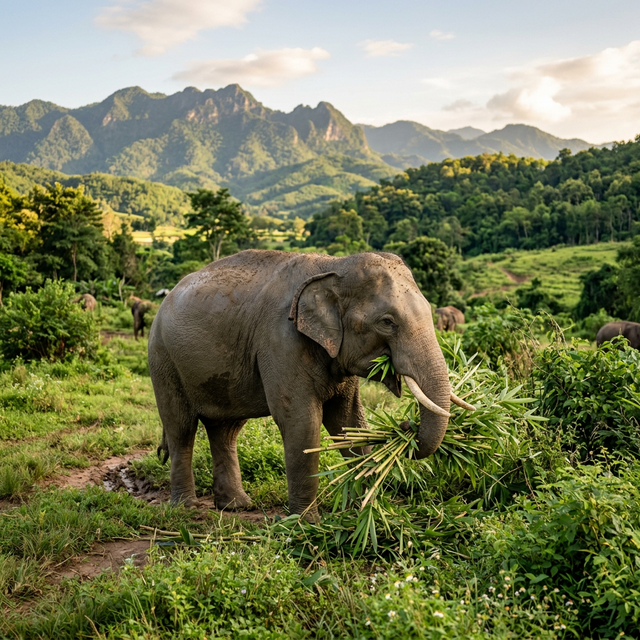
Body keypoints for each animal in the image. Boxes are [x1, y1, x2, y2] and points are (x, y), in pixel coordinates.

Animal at [148, 250, 474, 521]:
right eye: (387, 322)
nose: (406, 425)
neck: (333, 265)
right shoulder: (281, 341)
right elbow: (302, 422)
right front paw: (305, 523)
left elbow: (347, 421)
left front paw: (367, 511)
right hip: (163, 360)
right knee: (181, 428)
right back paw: (187, 509)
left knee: (225, 430)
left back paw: (237, 506)